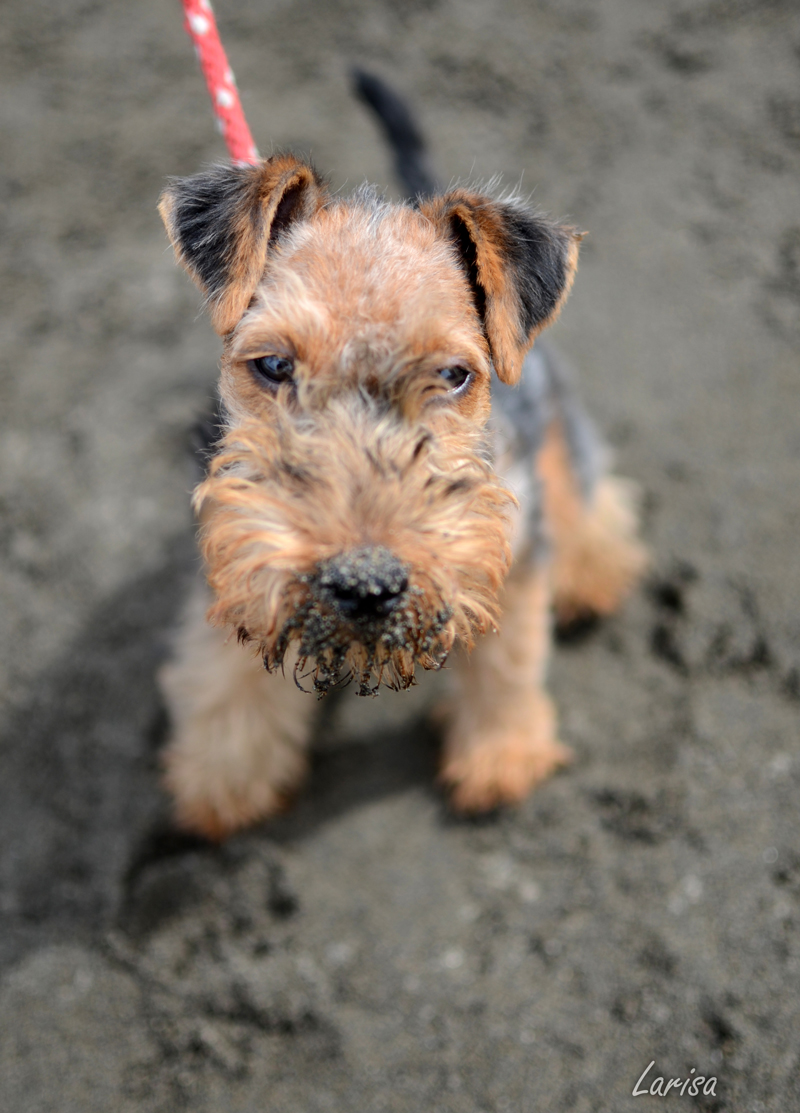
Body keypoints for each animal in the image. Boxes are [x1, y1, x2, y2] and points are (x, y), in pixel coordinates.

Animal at [159, 89, 649, 836]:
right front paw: (225, 773)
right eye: (272, 364)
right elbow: (222, 665)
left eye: (452, 374)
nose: (365, 582)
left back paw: (593, 572)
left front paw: (500, 751)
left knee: (582, 485)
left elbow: (509, 659)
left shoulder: (503, 553)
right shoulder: (235, 545)